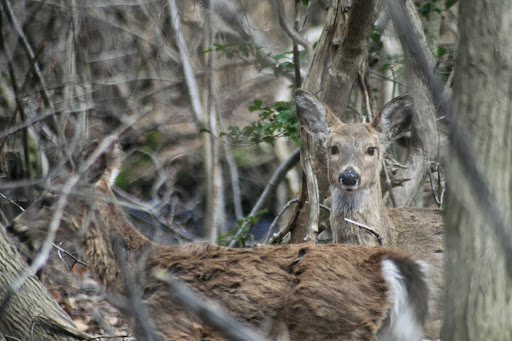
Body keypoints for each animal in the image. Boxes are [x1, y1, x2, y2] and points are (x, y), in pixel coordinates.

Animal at [8, 141, 430, 340]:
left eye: (48, 199)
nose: (13, 226)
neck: (137, 280)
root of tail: (388, 263)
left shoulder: (173, 327)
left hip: (332, 325)